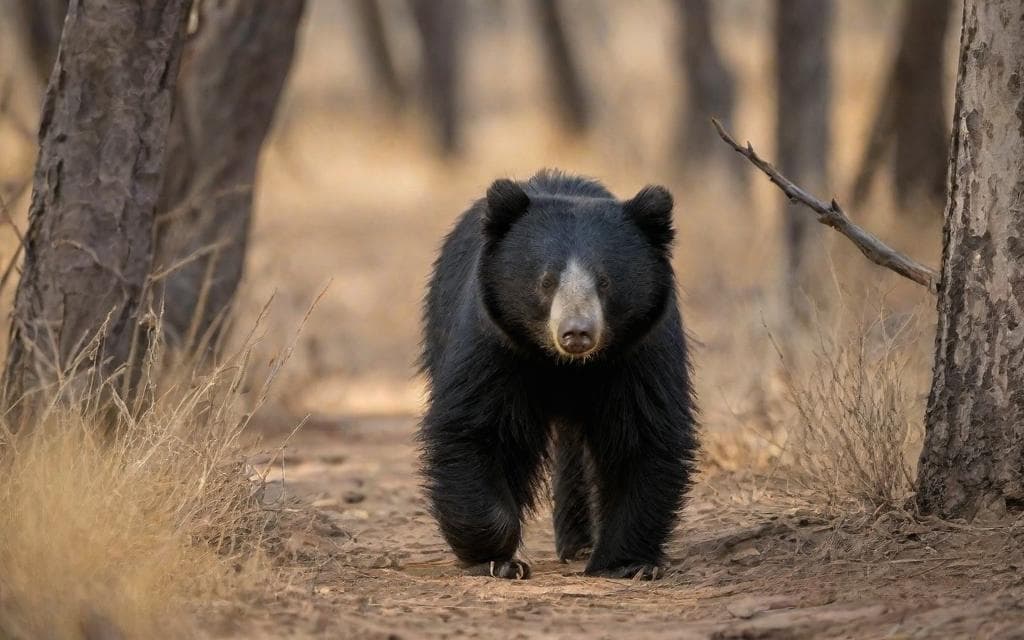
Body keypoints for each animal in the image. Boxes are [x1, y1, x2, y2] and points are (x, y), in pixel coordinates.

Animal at [418, 169, 697, 580]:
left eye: (604, 281)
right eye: (547, 281)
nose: (576, 333)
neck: (567, 365)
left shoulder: (642, 349)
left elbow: (643, 434)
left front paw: (627, 564)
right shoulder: (494, 343)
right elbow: (475, 427)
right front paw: (500, 560)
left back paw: (578, 544)